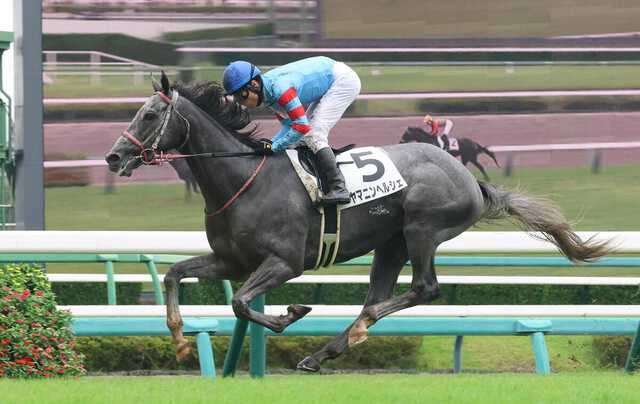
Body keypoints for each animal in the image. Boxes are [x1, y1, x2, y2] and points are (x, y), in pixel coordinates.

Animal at [105, 72, 613, 373]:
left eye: (150, 114)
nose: (113, 157)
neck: (244, 179)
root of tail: (470, 179)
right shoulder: (231, 261)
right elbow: (175, 274)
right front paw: (179, 341)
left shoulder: (284, 263)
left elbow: (243, 304)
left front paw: (291, 314)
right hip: (390, 244)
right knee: (379, 295)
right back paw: (326, 350)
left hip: (422, 229)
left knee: (423, 289)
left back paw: (345, 336)